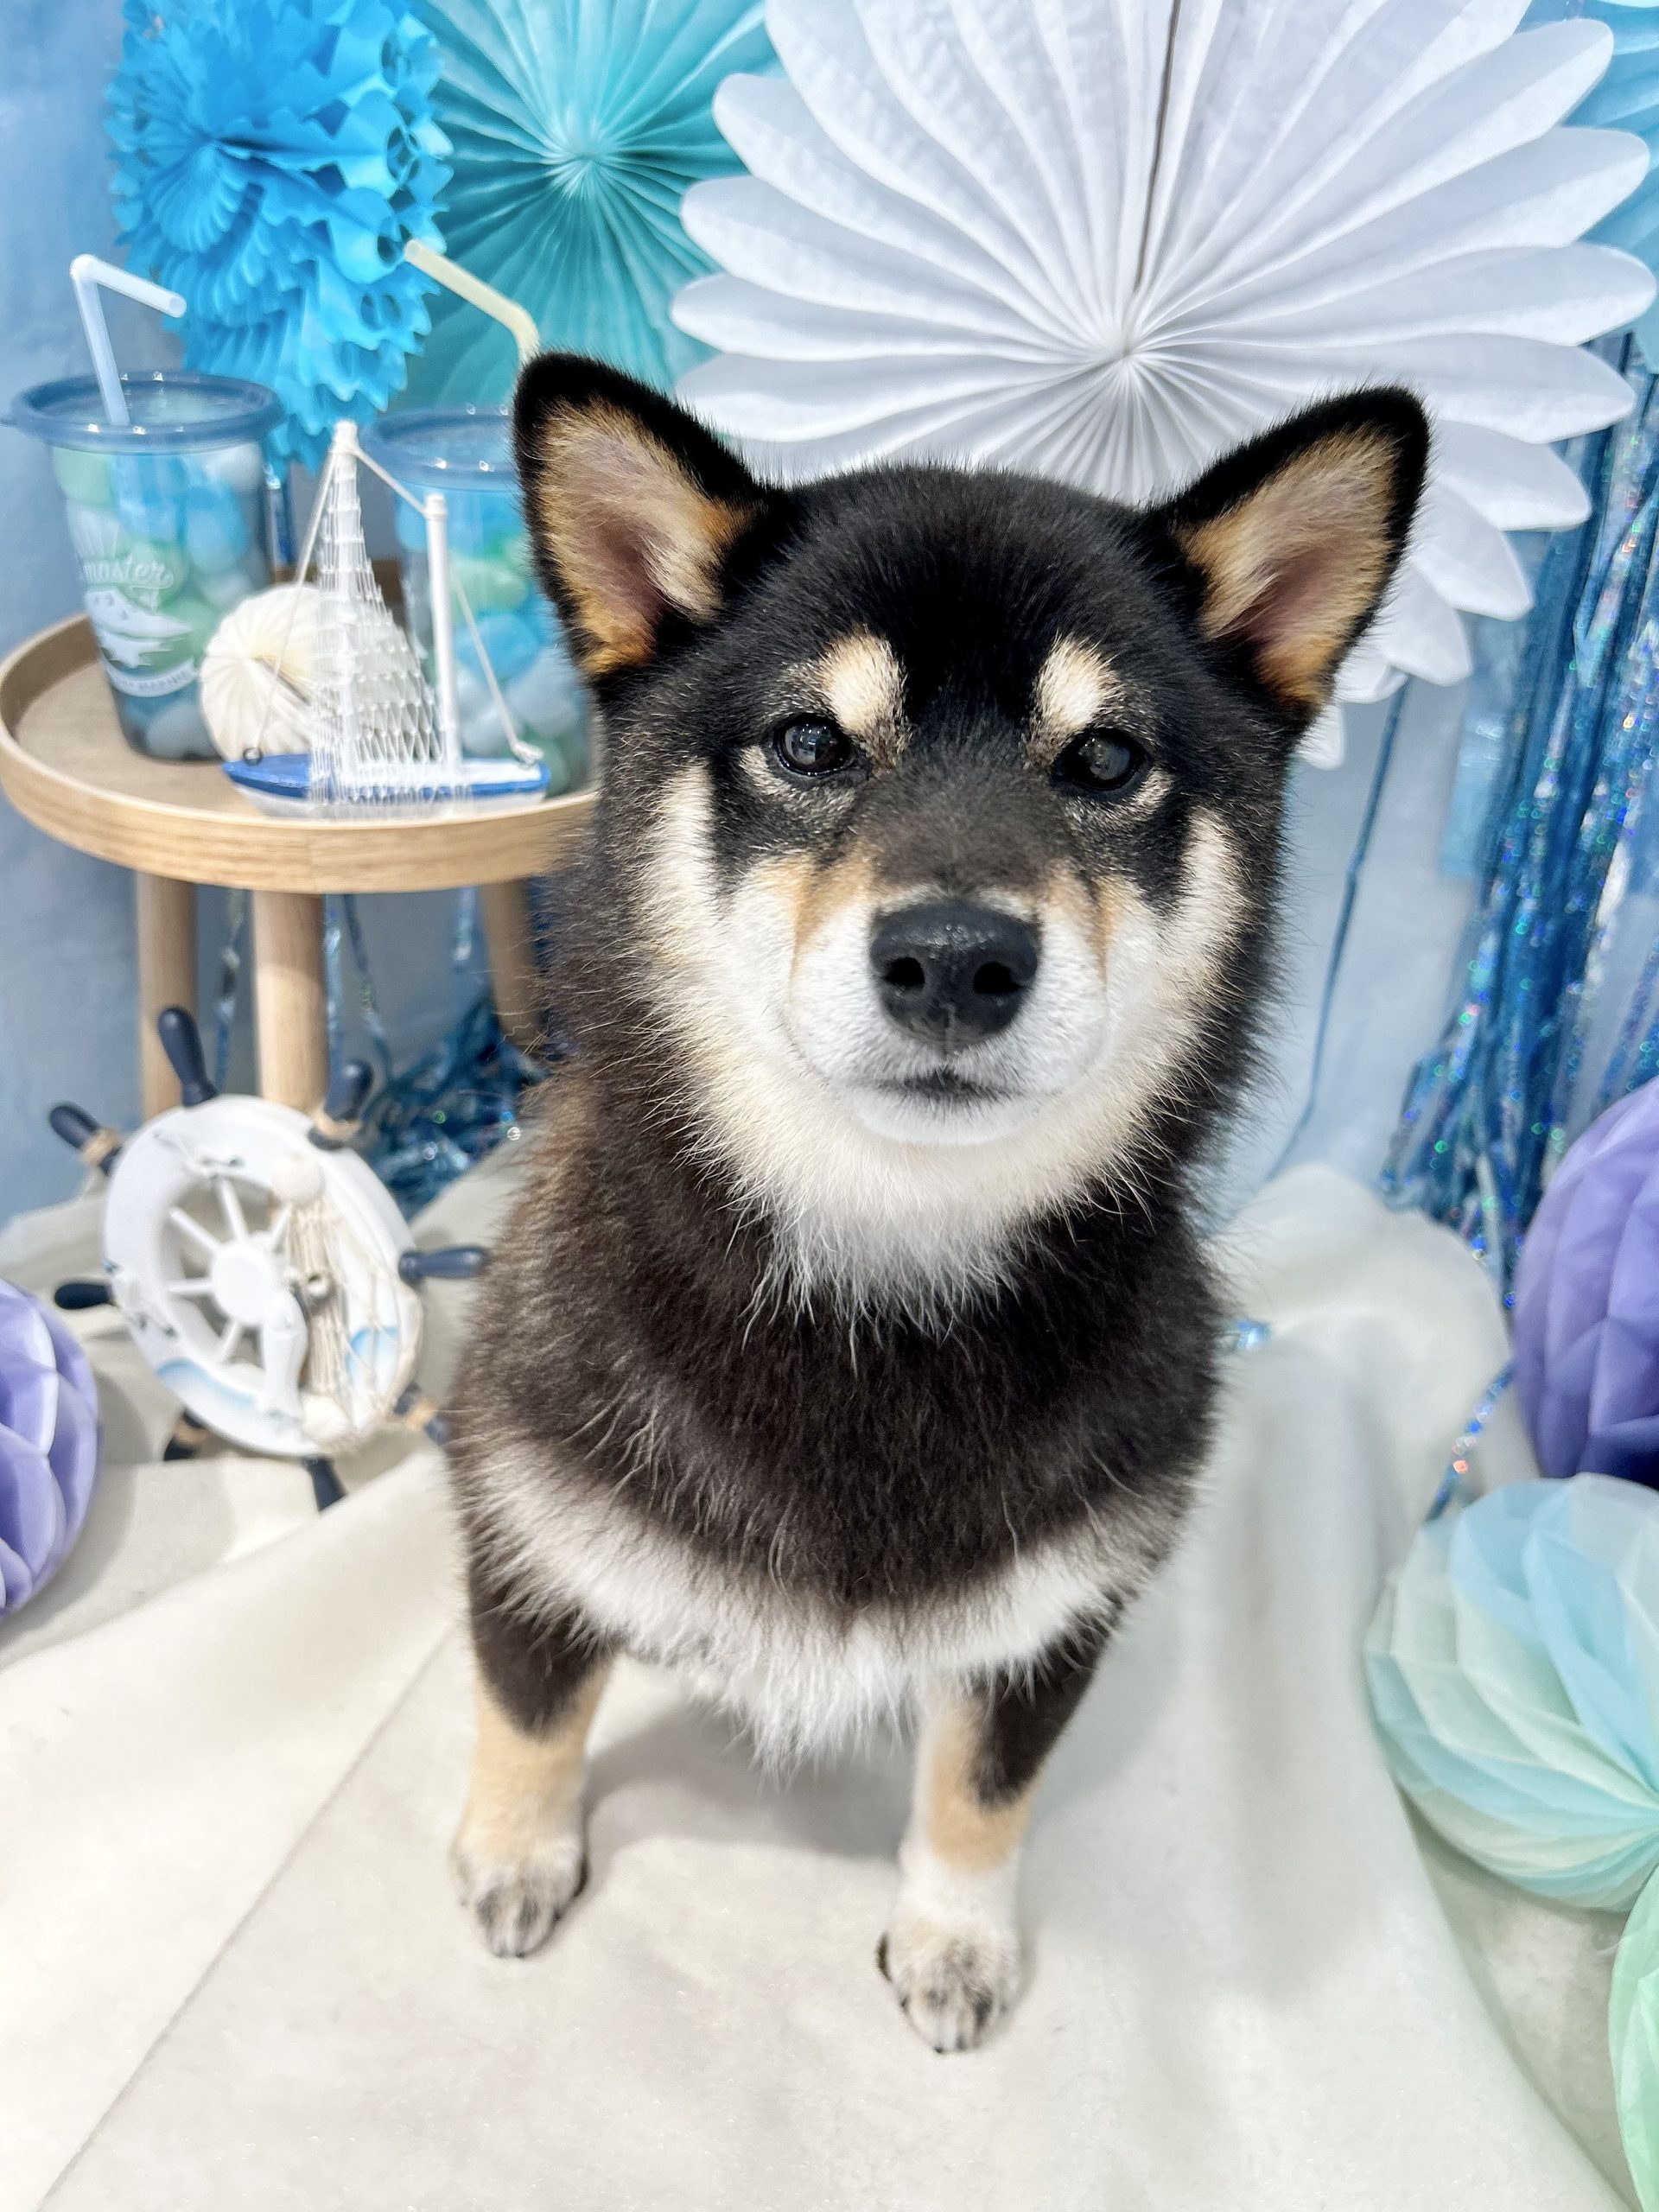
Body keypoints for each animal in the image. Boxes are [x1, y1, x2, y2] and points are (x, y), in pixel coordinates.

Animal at [446, 354, 1428, 2052]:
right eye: (807, 744)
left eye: (1104, 761)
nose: (958, 958)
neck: (879, 1287)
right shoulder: (523, 1512)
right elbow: (529, 1710)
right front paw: (514, 1851)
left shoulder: (1055, 1617)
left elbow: (979, 1794)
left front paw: (956, 1942)